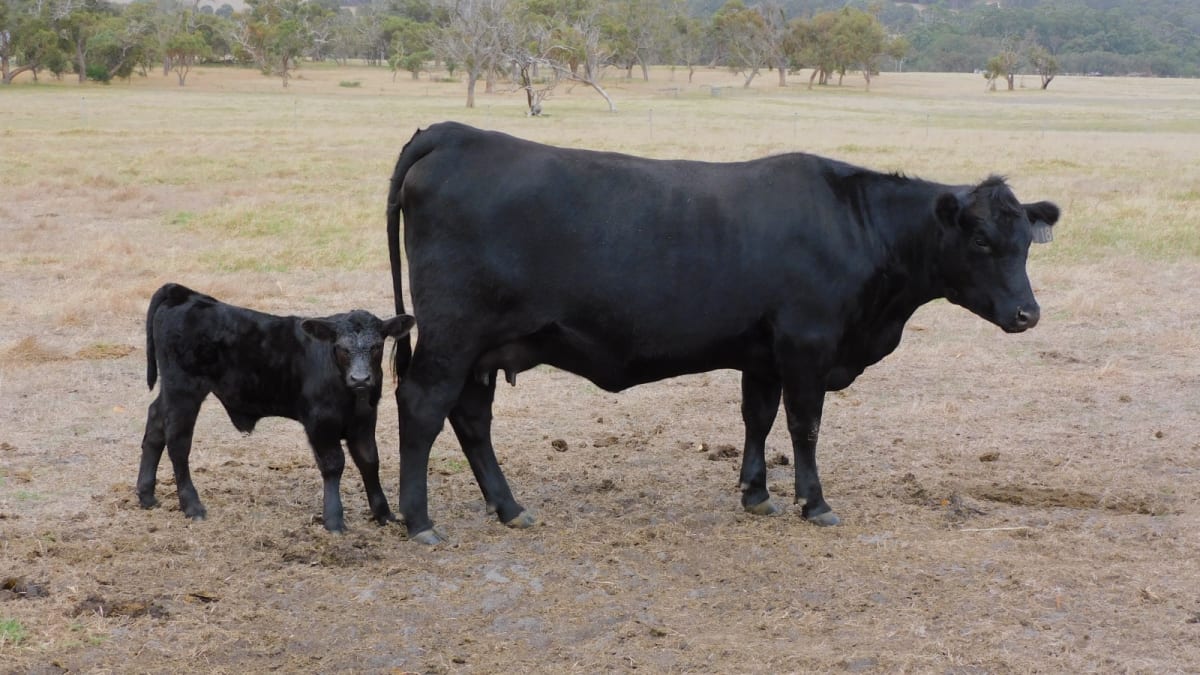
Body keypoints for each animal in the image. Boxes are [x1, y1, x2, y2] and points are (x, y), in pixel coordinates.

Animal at [137, 283, 415, 532]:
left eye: (377, 346)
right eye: (342, 348)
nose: (360, 379)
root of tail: (185, 293)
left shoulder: (365, 420)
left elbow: (369, 461)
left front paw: (384, 514)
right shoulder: (320, 421)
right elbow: (334, 464)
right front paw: (334, 520)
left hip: (172, 391)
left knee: (155, 422)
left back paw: (146, 495)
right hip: (183, 391)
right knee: (178, 443)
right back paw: (192, 505)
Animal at [387, 121, 1059, 544]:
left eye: (1026, 242)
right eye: (980, 240)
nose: (1028, 314)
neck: (856, 227)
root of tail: (454, 132)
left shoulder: (761, 354)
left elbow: (757, 418)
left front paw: (755, 493)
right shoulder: (807, 345)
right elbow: (804, 425)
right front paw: (814, 502)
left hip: (481, 349)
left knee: (471, 418)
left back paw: (509, 508)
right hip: (452, 336)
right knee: (422, 408)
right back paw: (419, 522)